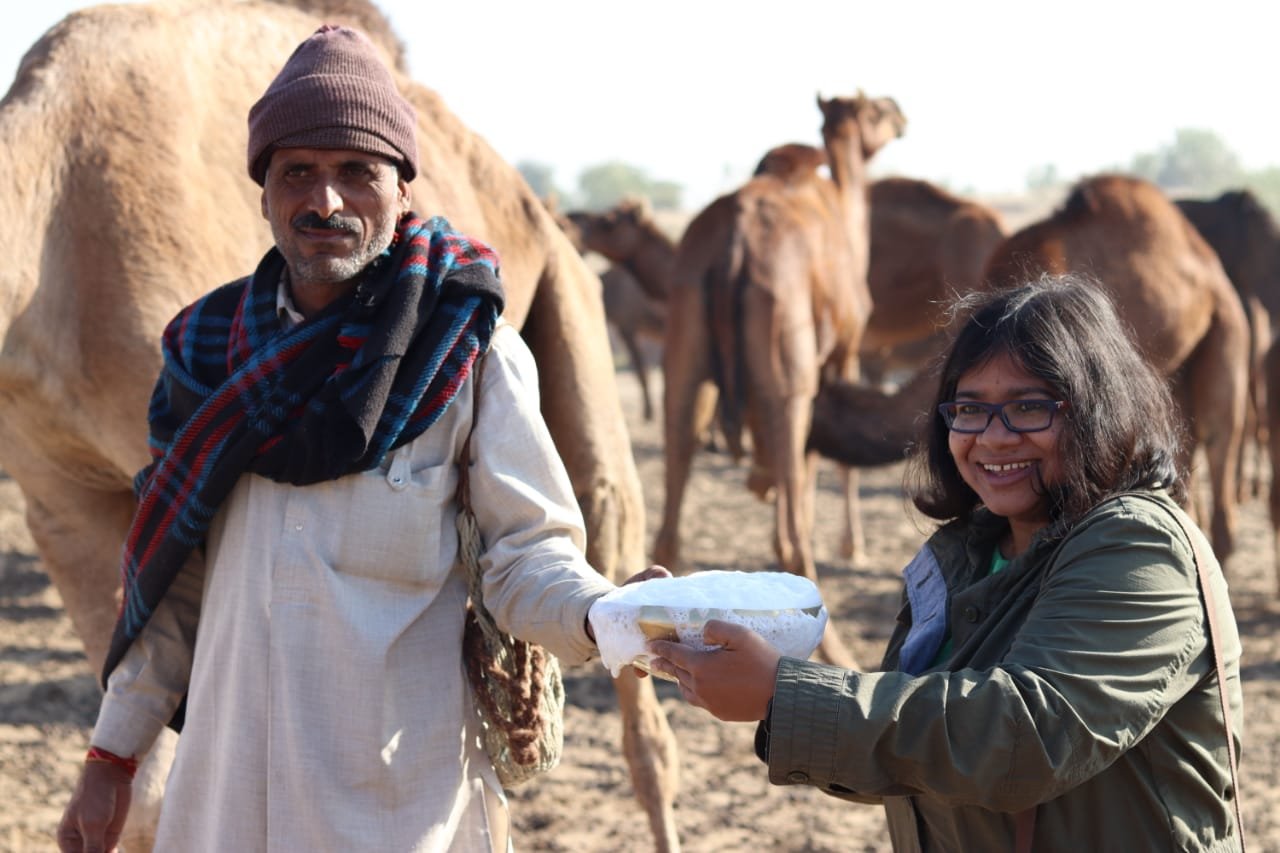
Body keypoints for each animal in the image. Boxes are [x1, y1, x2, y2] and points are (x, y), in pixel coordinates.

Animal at [655, 91, 906, 666]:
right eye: (878, 111)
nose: (901, 114)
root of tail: (735, 246)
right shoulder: (840, 356)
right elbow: (827, 468)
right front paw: (852, 546)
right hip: (788, 361)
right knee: (795, 532)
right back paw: (831, 650)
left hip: (685, 343)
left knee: (672, 503)